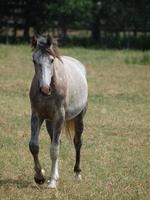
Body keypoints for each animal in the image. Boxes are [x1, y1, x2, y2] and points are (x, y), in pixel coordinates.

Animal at [28, 35, 88, 188]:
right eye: (34, 60)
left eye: (52, 60)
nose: (44, 89)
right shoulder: (37, 116)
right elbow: (34, 146)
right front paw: (40, 176)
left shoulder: (60, 117)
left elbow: (54, 150)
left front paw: (53, 183)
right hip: (50, 122)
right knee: (56, 141)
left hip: (79, 117)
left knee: (77, 142)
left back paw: (77, 173)